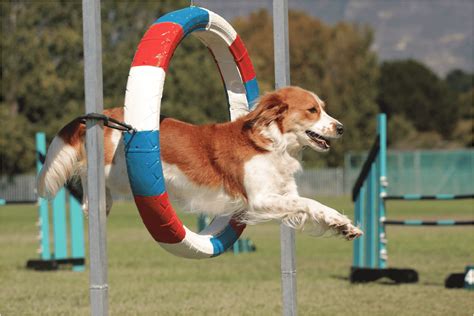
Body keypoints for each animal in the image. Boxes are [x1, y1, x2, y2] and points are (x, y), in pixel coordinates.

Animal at [38, 86, 362, 239]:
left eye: (323, 108)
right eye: (312, 110)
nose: (342, 128)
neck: (272, 143)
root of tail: (106, 114)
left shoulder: (283, 193)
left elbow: (312, 206)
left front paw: (343, 225)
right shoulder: (259, 199)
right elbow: (307, 202)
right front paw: (340, 221)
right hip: (112, 171)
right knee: (88, 187)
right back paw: (95, 204)